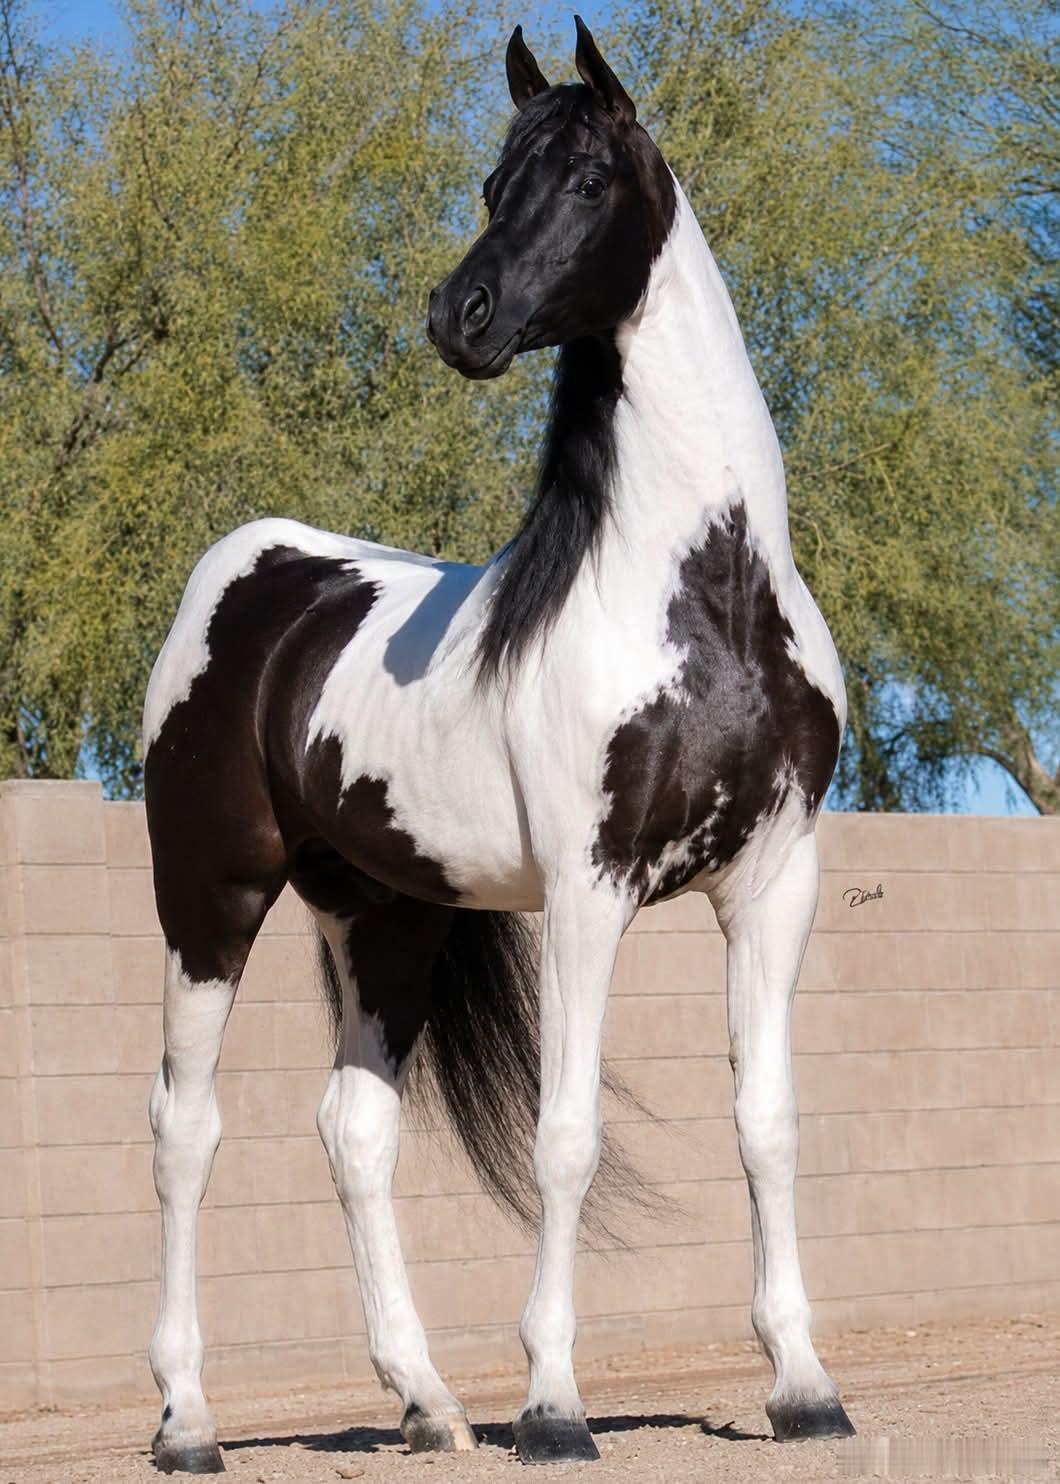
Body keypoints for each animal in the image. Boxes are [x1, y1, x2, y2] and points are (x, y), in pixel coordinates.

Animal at [142, 17, 855, 1473]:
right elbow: (565, 1135)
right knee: (188, 1129)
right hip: (210, 897)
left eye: (585, 180)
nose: (455, 318)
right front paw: (554, 1406)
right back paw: (188, 1418)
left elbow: (767, 1123)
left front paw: (804, 1386)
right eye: (490, 183)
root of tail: (250, 575)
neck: (703, 599)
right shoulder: (590, 890)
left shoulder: (774, 882)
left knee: (353, 1130)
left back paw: (426, 1405)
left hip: (385, 915)